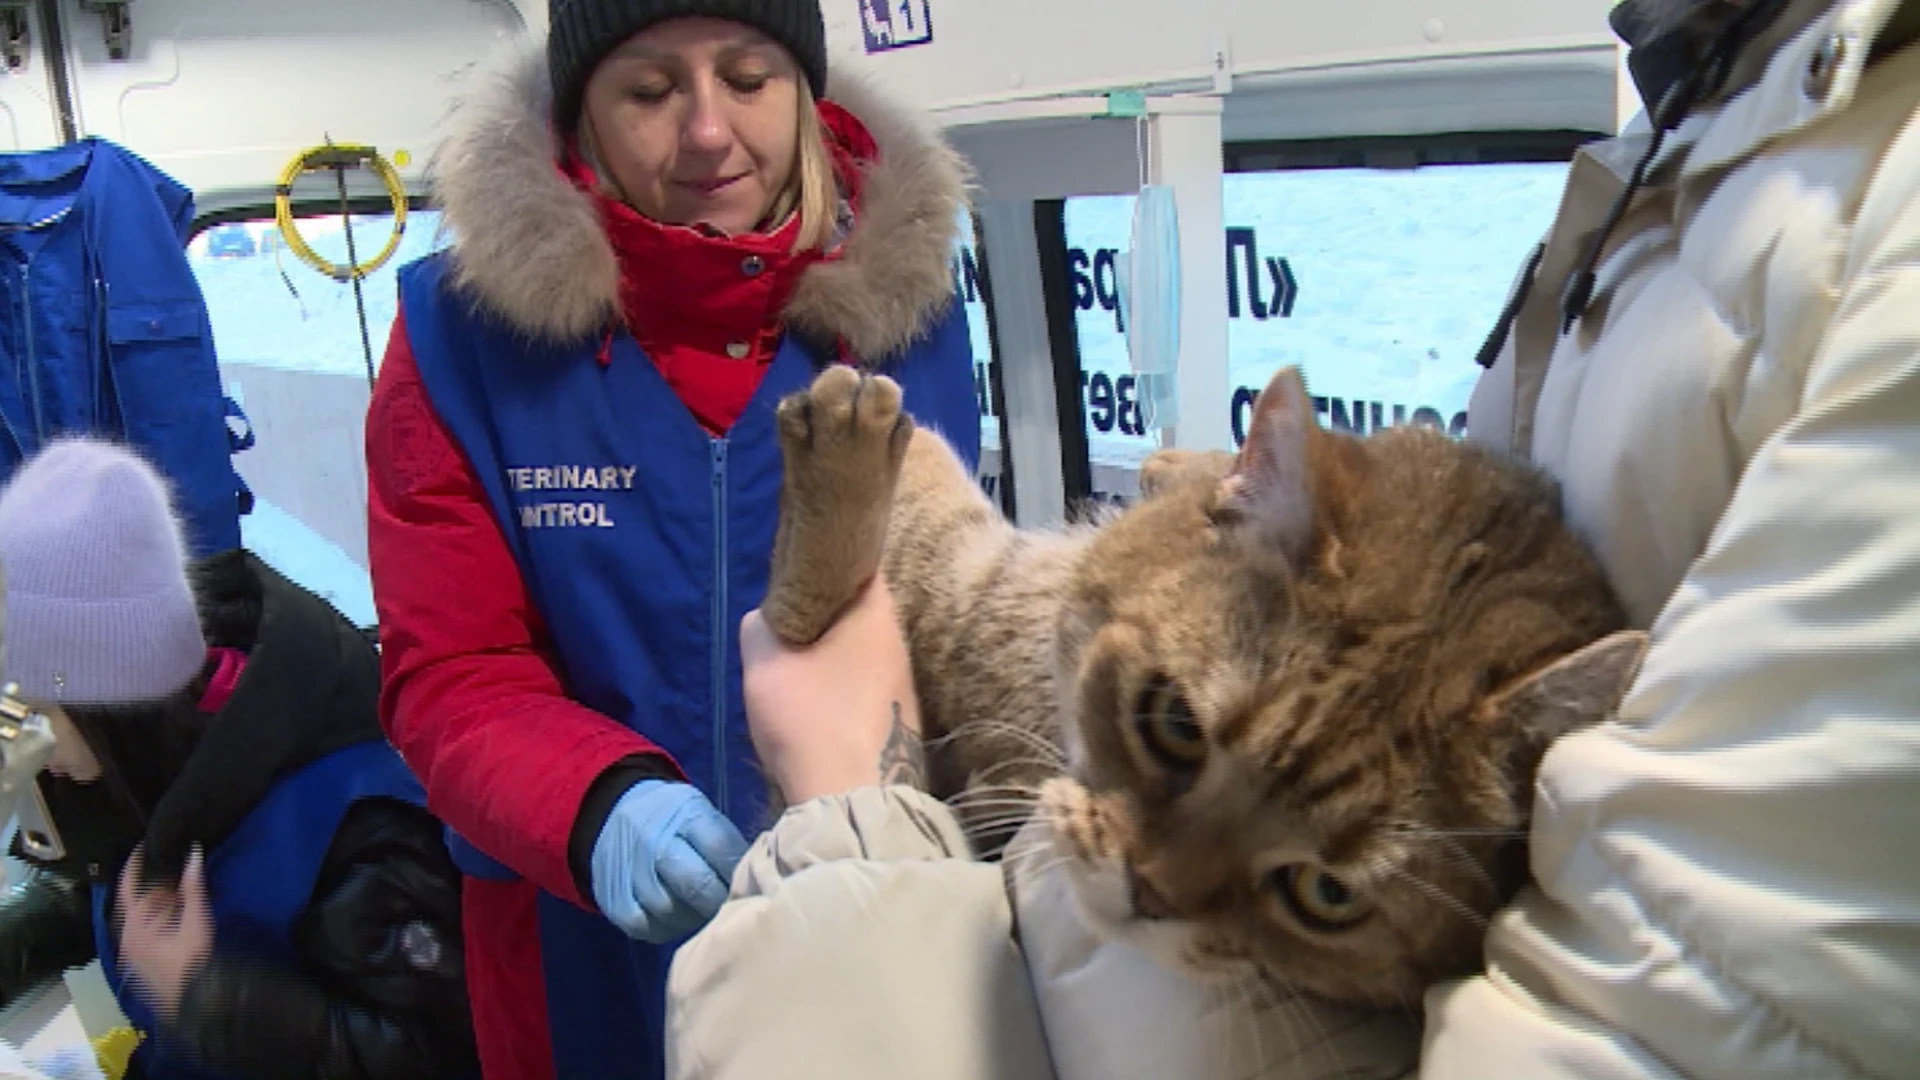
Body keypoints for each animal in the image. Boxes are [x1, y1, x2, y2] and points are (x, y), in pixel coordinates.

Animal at [764, 363, 1651, 1006]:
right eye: (1177, 724)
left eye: (1326, 893)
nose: (1148, 891)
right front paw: (1182, 464)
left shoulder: (970, 599)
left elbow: (857, 566)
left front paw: (850, 444)